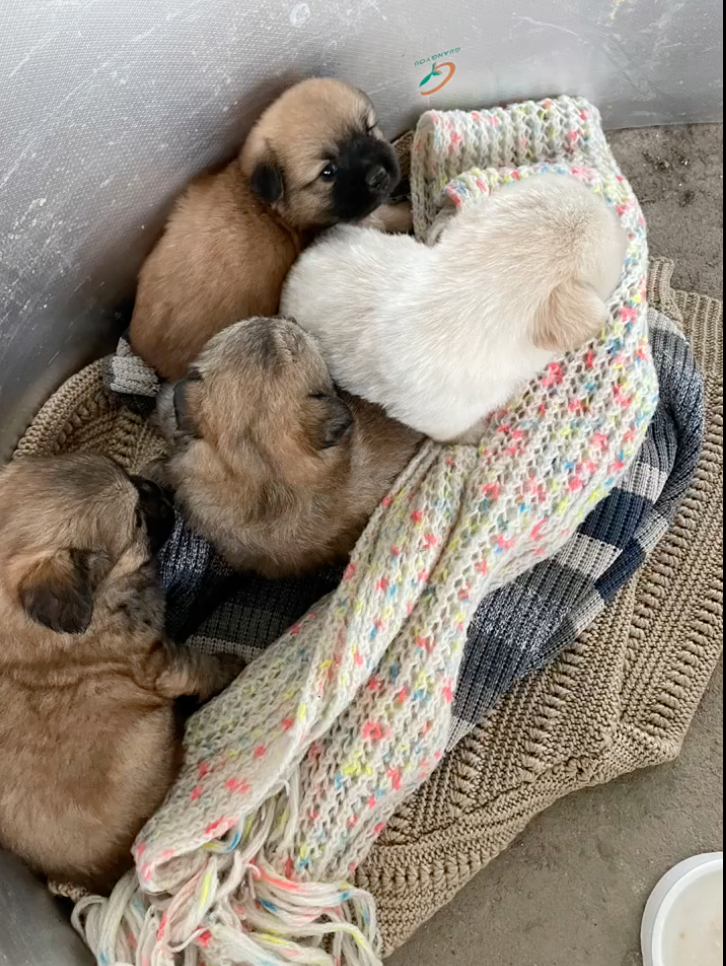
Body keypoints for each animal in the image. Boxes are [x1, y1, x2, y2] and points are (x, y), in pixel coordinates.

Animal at [0, 458, 240, 896]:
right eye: (138, 521)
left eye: (127, 473)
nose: (161, 490)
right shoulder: (162, 662)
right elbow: (202, 665)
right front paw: (230, 666)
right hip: (149, 736)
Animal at [130, 77, 410, 380]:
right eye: (328, 172)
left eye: (369, 129)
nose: (380, 176)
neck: (269, 206)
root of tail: (147, 356)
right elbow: (389, 216)